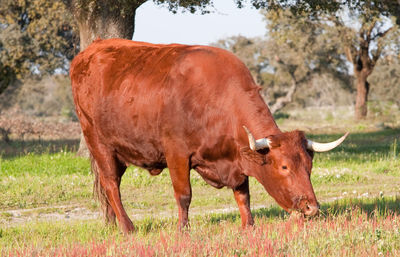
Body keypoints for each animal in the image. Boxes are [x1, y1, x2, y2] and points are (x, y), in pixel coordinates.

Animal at [70, 38, 348, 234]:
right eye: (284, 167)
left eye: (309, 166)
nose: (312, 207)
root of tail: (91, 49)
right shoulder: (177, 154)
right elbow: (184, 195)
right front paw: (183, 230)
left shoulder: (237, 159)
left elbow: (243, 194)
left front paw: (248, 226)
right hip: (99, 143)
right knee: (111, 184)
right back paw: (128, 227)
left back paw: (115, 223)